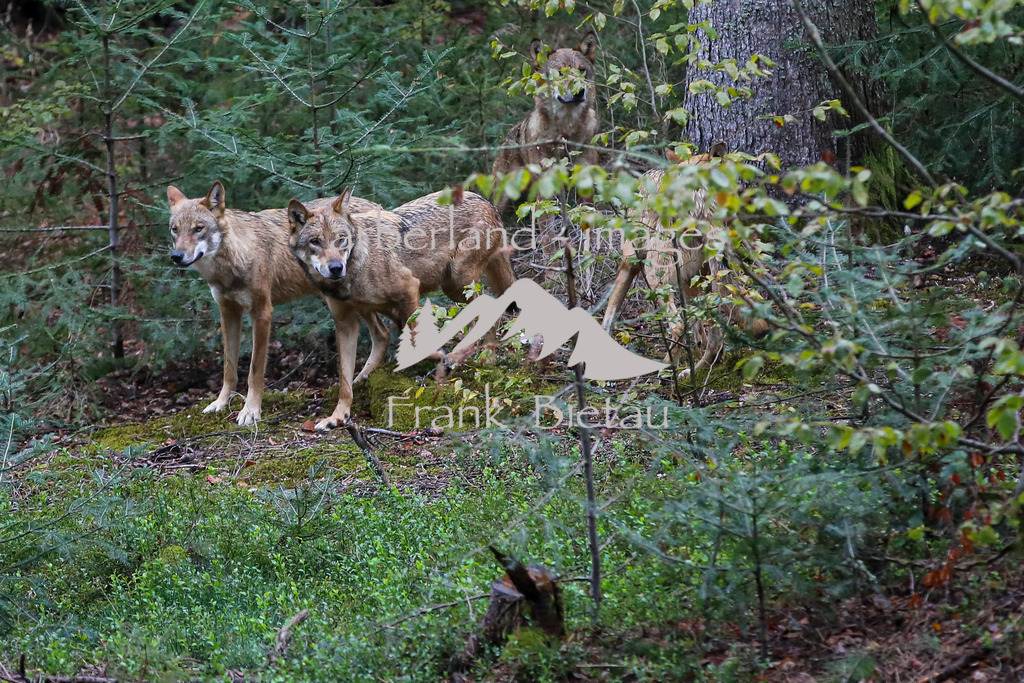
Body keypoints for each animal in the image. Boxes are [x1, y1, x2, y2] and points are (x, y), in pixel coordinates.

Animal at [167, 180, 380, 426]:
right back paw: (363, 378)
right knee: (382, 334)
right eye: (175, 229)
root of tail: (375, 204)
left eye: (198, 228)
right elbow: (229, 367)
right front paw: (220, 403)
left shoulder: (262, 312)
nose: (177, 256)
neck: (233, 261)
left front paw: (250, 411)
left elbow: (254, 369)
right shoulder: (228, 312)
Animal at [289, 188, 515, 430]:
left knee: (485, 310)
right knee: (383, 333)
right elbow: (344, 377)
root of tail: (487, 202)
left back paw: (470, 357)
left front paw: (440, 356)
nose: (335, 268)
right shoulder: (345, 322)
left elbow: (417, 338)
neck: (358, 262)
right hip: (437, 290)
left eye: (341, 239)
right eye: (315, 242)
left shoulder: (410, 289)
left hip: (457, 281)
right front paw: (338, 416)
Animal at [492, 31, 599, 214]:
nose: (579, 91)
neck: (566, 130)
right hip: (502, 200)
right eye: (560, 73)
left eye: (581, 70)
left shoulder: (585, 184)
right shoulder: (546, 187)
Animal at [601, 143, 768, 377]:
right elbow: (699, 328)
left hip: (657, 276)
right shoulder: (691, 279)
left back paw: (667, 369)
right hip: (710, 276)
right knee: (717, 332)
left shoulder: (630, 261)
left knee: (679, 325)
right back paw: (698, 367)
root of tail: (702, 207)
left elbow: (610, 310)